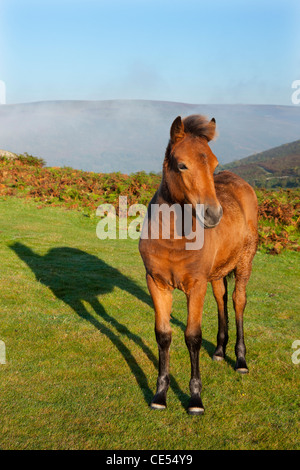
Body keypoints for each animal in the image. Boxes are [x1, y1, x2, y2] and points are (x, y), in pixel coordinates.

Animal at [138, 114, 258, 414]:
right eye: (182, 165)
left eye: (214, 164)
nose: (214, 214)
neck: (173, 238)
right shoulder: (156, 283)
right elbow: (163, 335)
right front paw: (160, 395)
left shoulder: (196, 285)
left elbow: (192, 336)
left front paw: (195, 400)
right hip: (216, 275)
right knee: (221, 298)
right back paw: (219, 351)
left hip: (244, 262)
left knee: (238, 301)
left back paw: (240, 360)